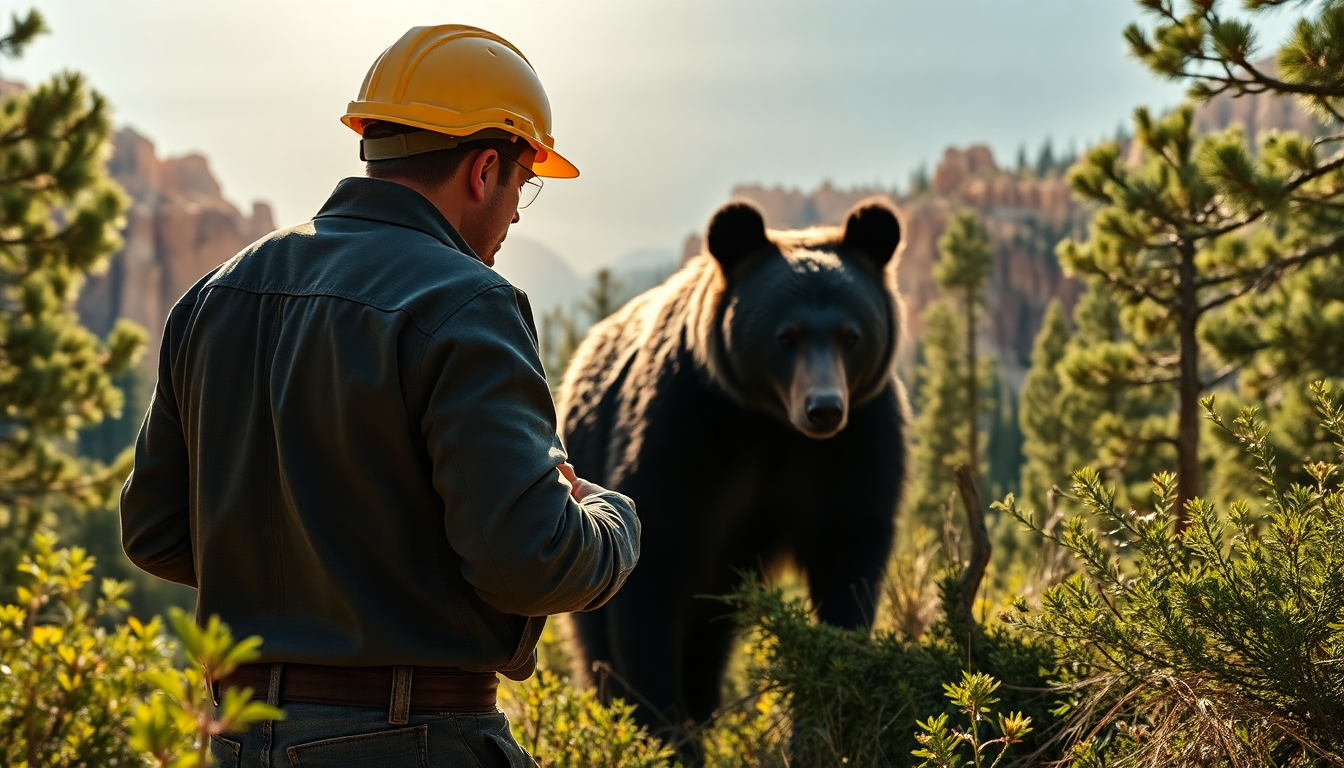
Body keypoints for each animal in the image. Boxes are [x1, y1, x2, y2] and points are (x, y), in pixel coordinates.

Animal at [555, 197, 908, 758]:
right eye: (786, 336)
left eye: (851, 336)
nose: (824, 408)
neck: (769, 423)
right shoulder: (685, 430)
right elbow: (649, 584)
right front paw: (663, 734)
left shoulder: (857, 443)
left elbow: (848, 556)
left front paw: (820, 725)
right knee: (597, 634)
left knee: (707, 645)